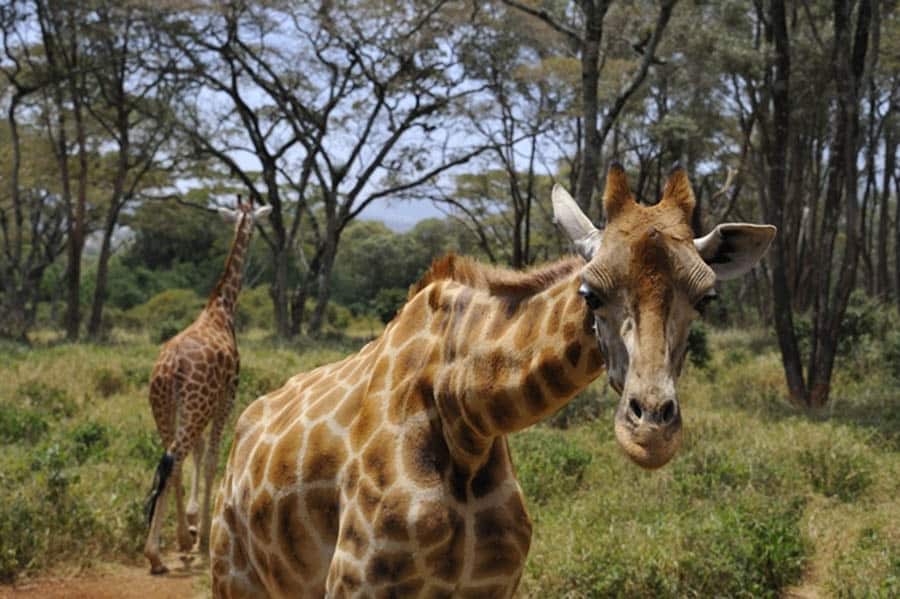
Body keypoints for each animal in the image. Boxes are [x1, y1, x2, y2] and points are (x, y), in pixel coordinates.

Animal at [142, 195, 270, 576]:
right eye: (257, 221)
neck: (221, 308)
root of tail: (170, 367)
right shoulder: (226, 398)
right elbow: (212, 457)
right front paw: (202, 538)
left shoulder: (202, 406)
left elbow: (197, 456)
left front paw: (191, 526)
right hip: (194, 407)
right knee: (173, 459)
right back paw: (155, 555)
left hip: (165, 408)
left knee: (171, 460)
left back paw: (174, 543)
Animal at [206, 165, 772, 599]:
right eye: (590, 293)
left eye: (707, 299)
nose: (650, 431)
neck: (465, 416)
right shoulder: (356, 584)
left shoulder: (493, 585)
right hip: (233, 574)